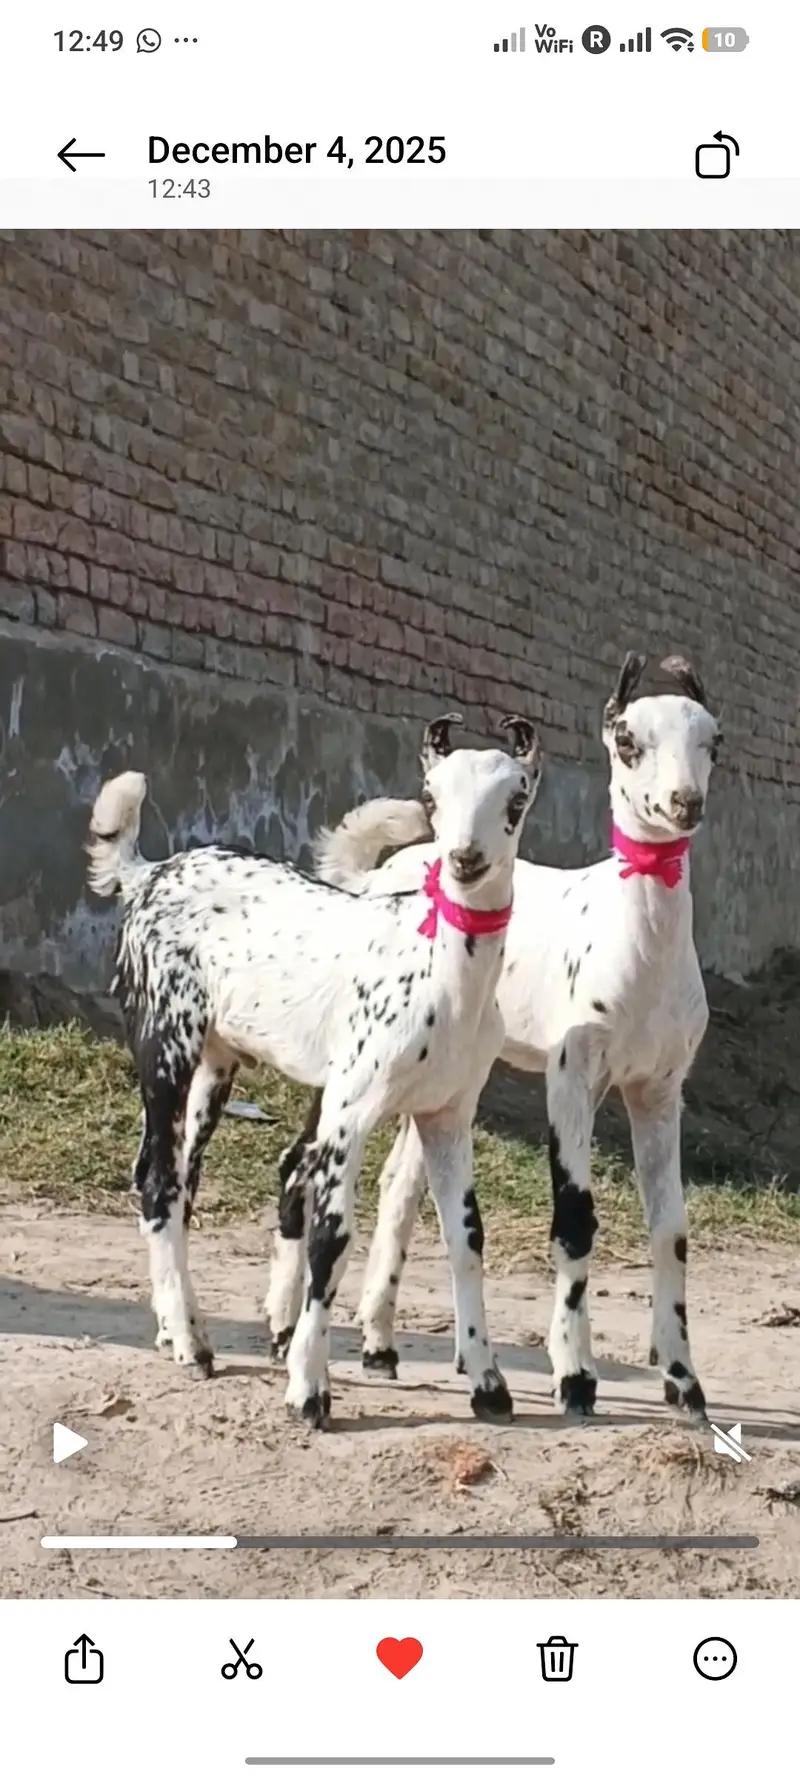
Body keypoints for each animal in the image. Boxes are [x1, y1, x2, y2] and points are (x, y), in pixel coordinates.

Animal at [86, 713, 541, 1429]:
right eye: (432, 797)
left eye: (516, 799)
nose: (466, 861)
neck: (439, 972)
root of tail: (149, 872)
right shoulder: (351, 1110)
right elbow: (333, 1237)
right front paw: (309, 1388)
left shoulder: (447, 1114)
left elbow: (466, 1236)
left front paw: (489, 1383)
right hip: (165, 1039)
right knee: (158, 1178)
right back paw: (192, 1344)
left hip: (216, 1062)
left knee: (182, 1178)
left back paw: (175, 1325)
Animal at [306, 654, 721, 1421]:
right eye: (627, 740)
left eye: (715, 739)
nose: (683, 803)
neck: (638, 951)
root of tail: (380, 871)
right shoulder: (573, 1070)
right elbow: (575, 1217)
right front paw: (575, 1377)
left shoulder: (659, 1086)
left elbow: (670, 1226)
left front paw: (684, 1382)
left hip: (444, 1072)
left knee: (400, 1181)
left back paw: (381, 1344)